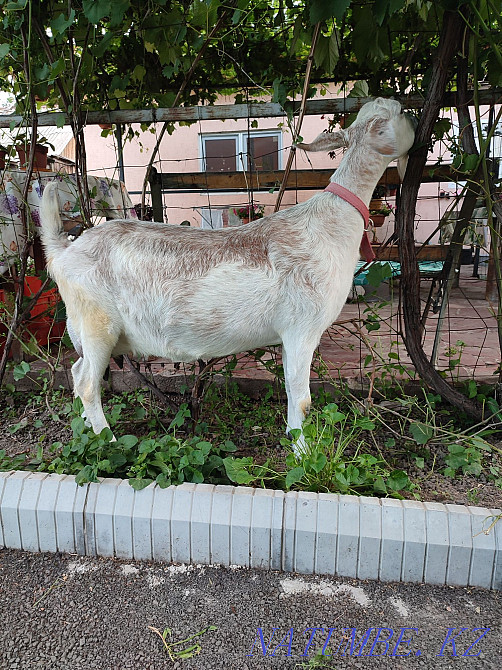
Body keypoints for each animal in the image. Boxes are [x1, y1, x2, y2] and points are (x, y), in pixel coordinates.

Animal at [40, 98, 415, 453]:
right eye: (399, 112)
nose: (414, 116)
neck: (331, 221)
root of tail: (61, 252)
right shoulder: (302, 328)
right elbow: (302, 399)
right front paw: (303, 453)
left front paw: (295, 442)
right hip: (96, 322)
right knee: (87, 383)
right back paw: (108, 441)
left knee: (77, 374)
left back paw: (86, 433)